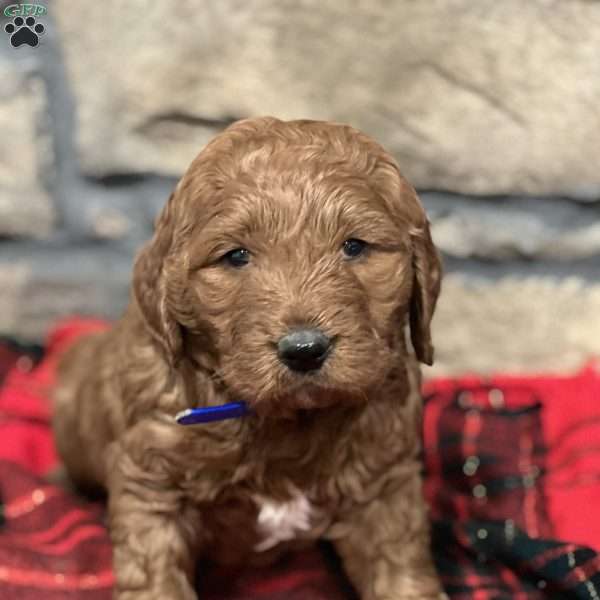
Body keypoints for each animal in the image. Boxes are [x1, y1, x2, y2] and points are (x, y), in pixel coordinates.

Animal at [54, 117, 442, 600]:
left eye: (354, 247)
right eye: (236, 256)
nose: (304, 350)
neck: (286, 424)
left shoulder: (385, 482)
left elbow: (400, 566)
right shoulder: (150, 481)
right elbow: (153, 572)